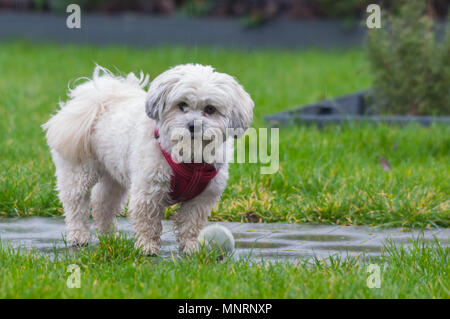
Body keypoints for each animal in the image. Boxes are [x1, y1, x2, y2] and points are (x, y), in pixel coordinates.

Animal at [44, 64, 255, 255]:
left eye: (210, 109)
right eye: (182, 105)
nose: (192, 125)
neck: (190, 157)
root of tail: (100, 99)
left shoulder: (202, 198)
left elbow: (191, 224)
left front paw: (190, 247)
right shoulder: (149, 189)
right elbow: (148, 221)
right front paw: (146, 247)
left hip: (114, 175)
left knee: (102, 204)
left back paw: (110, 237)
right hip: (78, 170)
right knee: (76, 204)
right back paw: (79, 236)